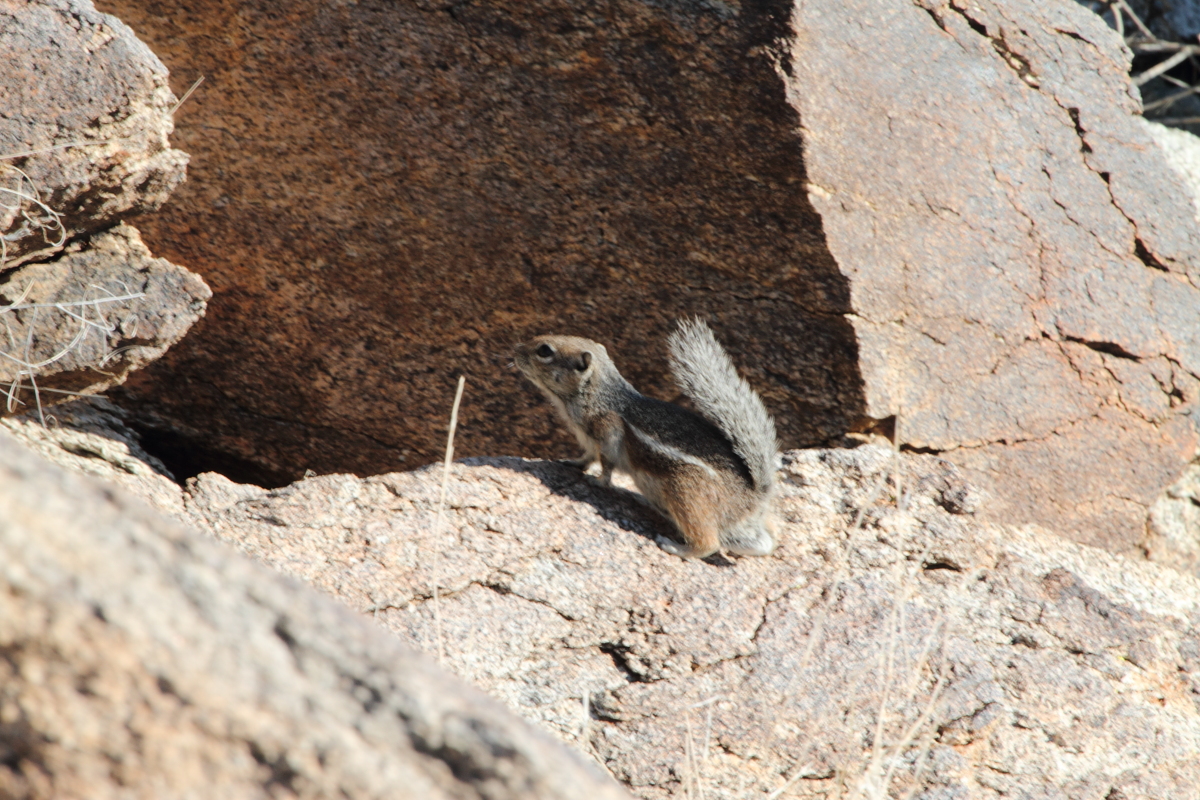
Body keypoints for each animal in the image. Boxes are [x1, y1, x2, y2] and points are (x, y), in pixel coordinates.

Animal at [513, 316, 777, 556]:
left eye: (544, 350)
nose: (516, 349)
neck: (596, 395)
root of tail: (754, 496)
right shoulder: (588, 439)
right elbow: (587, 456)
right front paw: (571, 462)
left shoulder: (609, 430)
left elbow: (606, 461)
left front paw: (598, 481)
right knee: (761, 543)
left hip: (687, 493)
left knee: (709, 542)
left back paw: (676, 547)